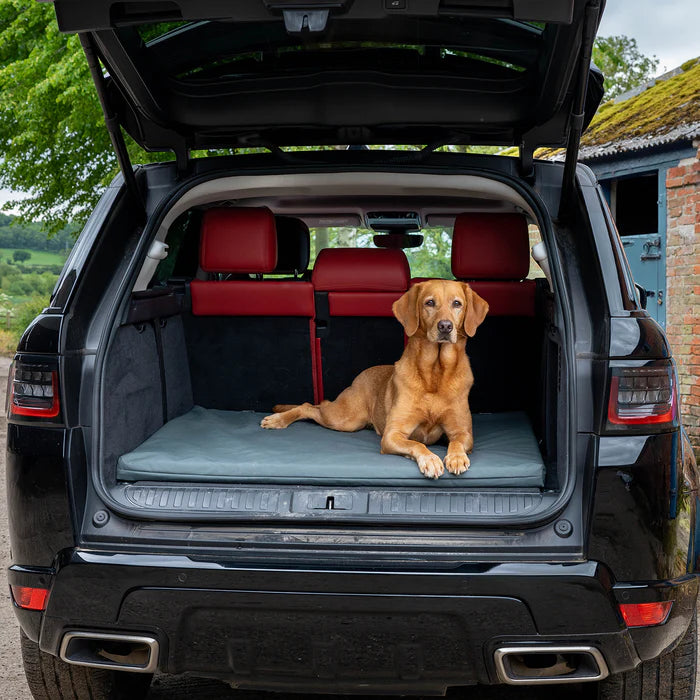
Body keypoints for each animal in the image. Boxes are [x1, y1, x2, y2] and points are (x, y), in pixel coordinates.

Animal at [260, 282, 490, 478]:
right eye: (430, 303)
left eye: (457, 304)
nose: (445, 326)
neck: (435, 373)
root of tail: (361, 374)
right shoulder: (392, 435)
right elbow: (417, 445)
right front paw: (431, 459)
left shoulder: (462, 432)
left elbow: (456, 443)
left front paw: (456, 457)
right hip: (345, 419)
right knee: (309, 406)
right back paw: (277, 420)